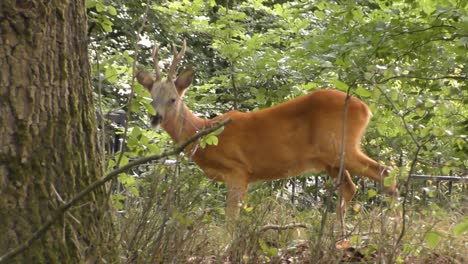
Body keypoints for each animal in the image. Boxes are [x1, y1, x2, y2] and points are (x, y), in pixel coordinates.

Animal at [133, 39, 396, 233]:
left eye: (173, 99)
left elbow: (230, 222)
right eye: (152, 98)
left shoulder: (238, 170)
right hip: (330, 159)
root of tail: (365, 109)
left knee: (386, 173)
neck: (205, 133)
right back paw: (339, 235)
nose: (155, 118)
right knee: (351, 187)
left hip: (342, 146)